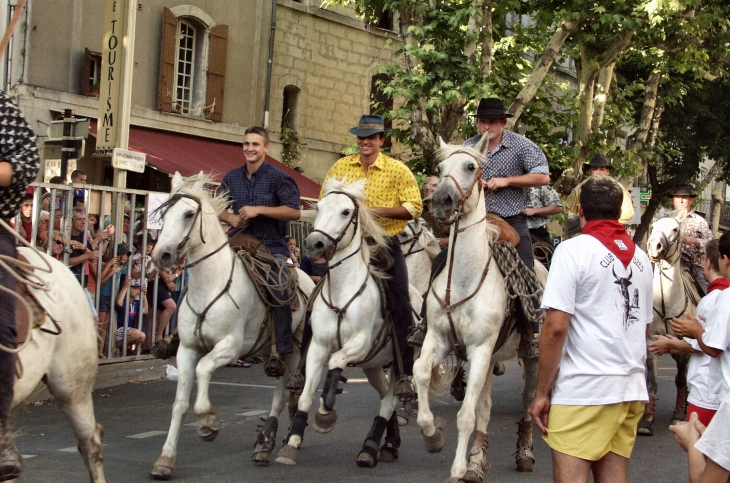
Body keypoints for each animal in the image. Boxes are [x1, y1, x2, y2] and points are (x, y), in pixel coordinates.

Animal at [151, 174, 312, 480]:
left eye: (188, 214)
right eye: (164, 214)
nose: (161, 255)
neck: (210, 284)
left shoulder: (230, 346)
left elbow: (203, 370)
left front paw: (208, 422)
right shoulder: (187, 349)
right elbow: (180, 404)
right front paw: (164, 460)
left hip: (295, 348)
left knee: (286, 391)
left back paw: (278, 441)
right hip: (268, 349)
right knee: (283, 391)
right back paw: (266, 445)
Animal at [274, 178, 426, 468]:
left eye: (346, 212)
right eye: (319, 207)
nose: (314, 243)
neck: (344, 290)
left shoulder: (360, 343)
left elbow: (336, 363)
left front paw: (325, 415)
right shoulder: (318, 347)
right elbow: (307, 394)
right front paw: (292, 442)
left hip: (400, 361)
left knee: (389, 400)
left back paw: (371, 447)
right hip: (374, 366)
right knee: (384, 397)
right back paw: (386, 445)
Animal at [410, 139, 544, 483]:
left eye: (471, 167)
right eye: (440, 168)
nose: (441, 200)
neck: (463, 280)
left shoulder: (481, 349)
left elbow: (466, 415)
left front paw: (457, 468)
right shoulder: (438, 339)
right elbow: (421, 373)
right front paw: (432, 436)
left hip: (529, 356)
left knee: (528, 401)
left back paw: (525, 454)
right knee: (485, 406)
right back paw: (477, 461)